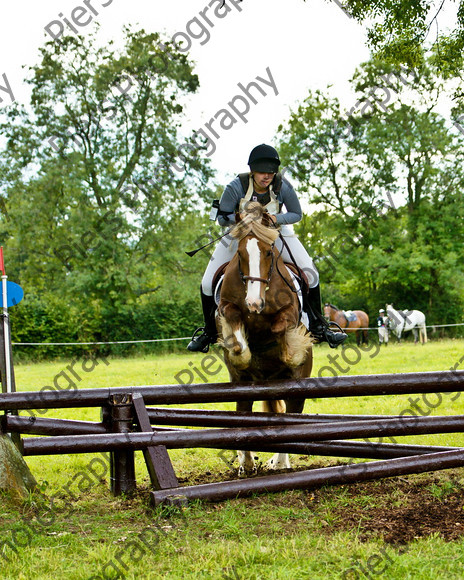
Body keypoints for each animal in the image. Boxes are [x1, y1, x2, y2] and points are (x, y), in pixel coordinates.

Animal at [217, 203, 312, 476]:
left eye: (269, 252)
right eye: (240, 254)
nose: (254, 303)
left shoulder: (290, 310)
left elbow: (282, 326)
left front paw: (293, 347)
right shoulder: (226, 306)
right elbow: (235, 327)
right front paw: (243, 352)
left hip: (299, 385)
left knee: (292, 415)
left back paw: (279, 463)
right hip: (241, 386)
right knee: (244, 412)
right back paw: (247, 463)